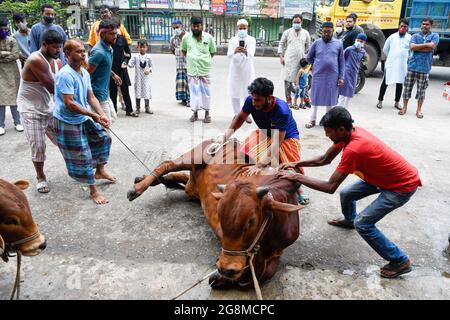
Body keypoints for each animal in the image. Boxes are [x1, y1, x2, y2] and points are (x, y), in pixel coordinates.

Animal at [126, 139, 304, 288]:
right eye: (220, 214)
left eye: (251, 221)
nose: (226, 269)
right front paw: (222, 277)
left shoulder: (276, 252)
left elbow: (264, 273)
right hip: (193, 157)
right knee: (167, 163)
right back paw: (138, 187)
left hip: (193, 186)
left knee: (183, 180)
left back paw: (154, 180)